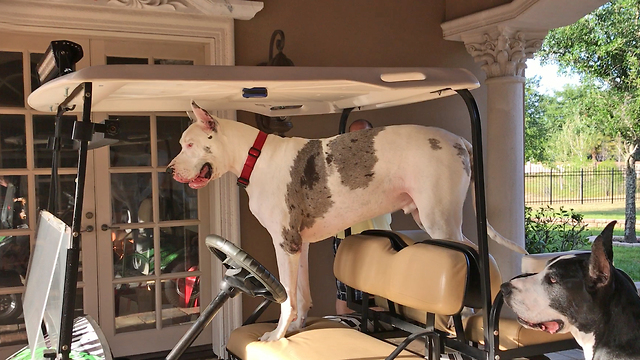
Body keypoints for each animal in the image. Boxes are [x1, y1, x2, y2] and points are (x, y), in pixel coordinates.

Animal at [168, 101, 528, 340]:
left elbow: (286, 297)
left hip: (440, 218)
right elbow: (301, 293)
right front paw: (297, 327)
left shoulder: (285, 242)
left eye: (189, 144)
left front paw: (277, 335)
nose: (170, 169)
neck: (253, 158)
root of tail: (460, 140)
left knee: (473, 254)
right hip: (430, 217)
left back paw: (466, 313)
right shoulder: (299, 245)